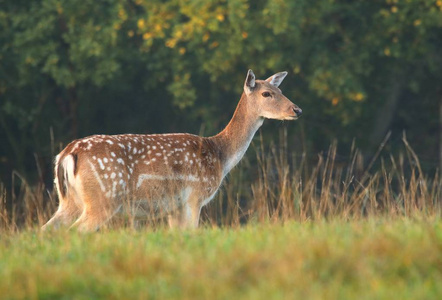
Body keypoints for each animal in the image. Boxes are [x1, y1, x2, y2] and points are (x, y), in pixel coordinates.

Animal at [41, 70, 302, 232]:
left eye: (280, 91)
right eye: (267, 94)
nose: (297, 109)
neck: (220, 156)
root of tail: (67, 154)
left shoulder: (173, 207)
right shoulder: (194, 196)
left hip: (69, 200)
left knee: (46, 229)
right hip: (103, 197)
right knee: (77, 230)